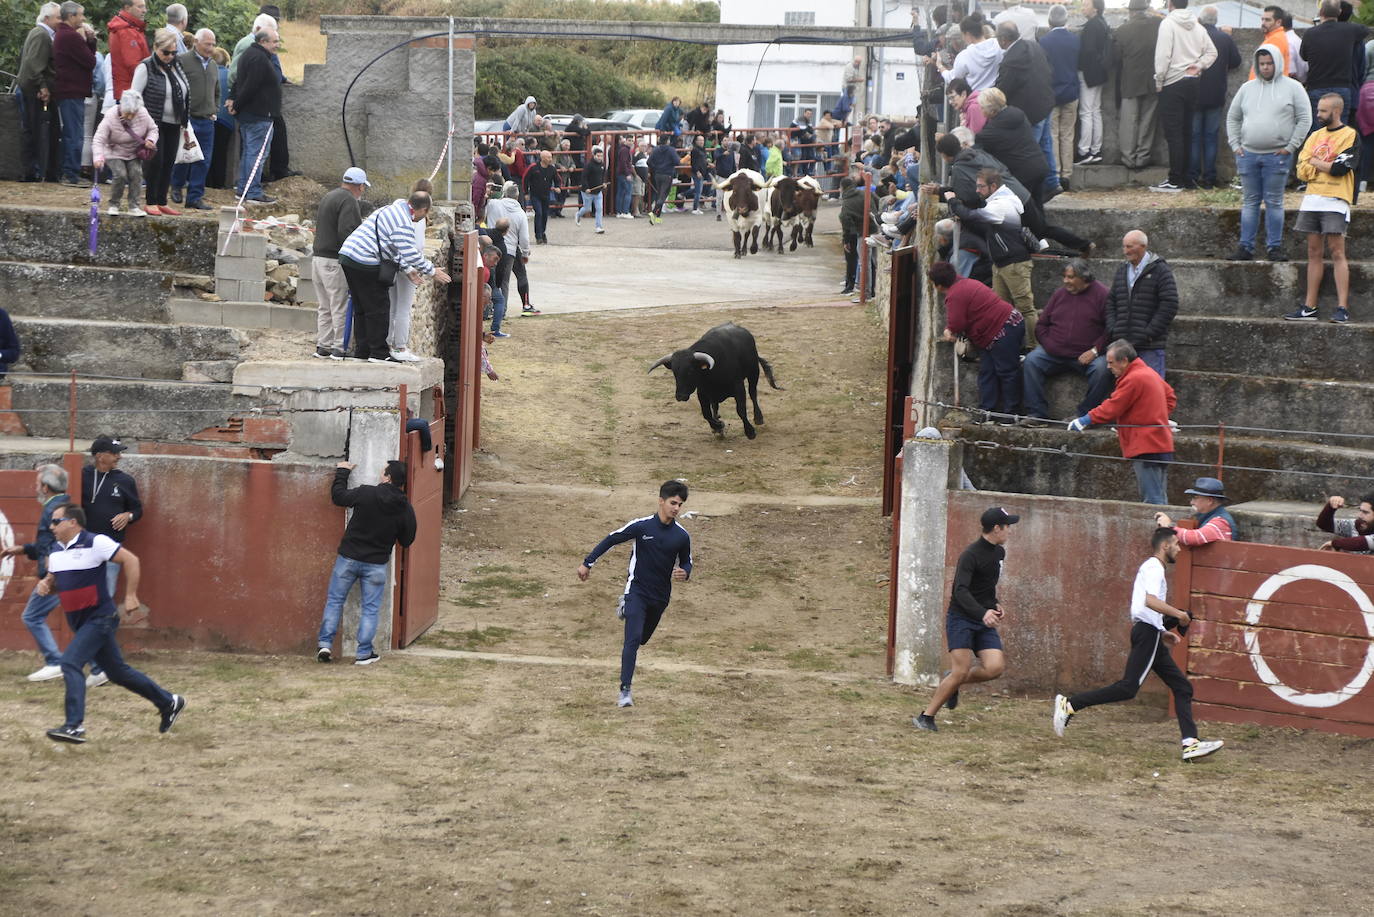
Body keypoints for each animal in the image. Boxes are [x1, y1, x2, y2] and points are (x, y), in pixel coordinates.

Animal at [645, 324, 780, 439]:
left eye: (690, 371)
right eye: (674, 372)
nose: (680, 396)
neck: (711, 375)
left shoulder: (738, 387)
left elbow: (741, 410)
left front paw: (750, 432)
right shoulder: (702, 392)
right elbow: (706, 414)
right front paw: (718, 426)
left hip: (753, 372)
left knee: (753, 393)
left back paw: (758, 418)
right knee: (715, 406)